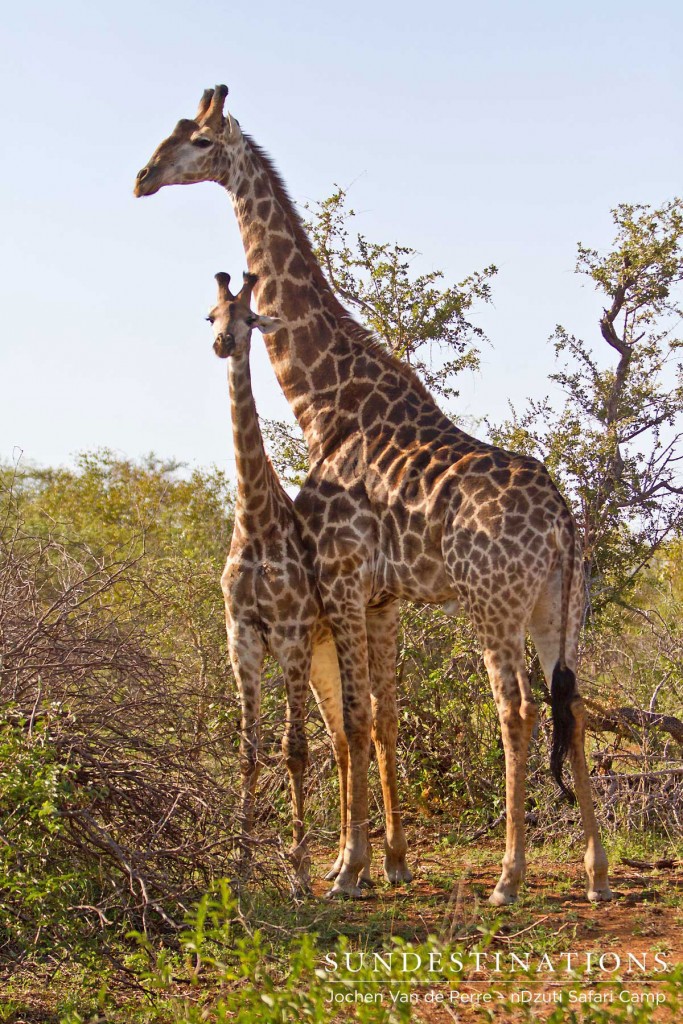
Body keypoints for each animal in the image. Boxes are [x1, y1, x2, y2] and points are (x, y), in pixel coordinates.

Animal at [205, 270, 411, 888]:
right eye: (211, 316)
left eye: (250, 318)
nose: (223, 344)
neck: (253, 519)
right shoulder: (242, 634)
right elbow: (249, 752)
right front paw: (241, 865)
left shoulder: (290, 631)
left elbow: (293, 749)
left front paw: (295, 871)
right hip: (324, 653)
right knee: (343, 738)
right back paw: (345, 861)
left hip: (369, 624)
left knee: (381, 721)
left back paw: (391, 862)